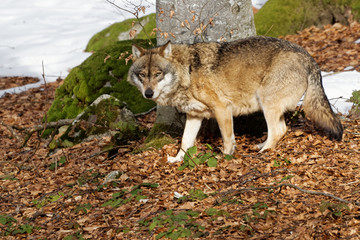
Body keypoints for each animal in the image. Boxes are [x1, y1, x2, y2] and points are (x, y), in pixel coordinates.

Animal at [127, 35, 344, 162]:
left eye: (157, 74)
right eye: (142, 75)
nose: (148, 93)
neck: (187, 72)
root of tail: (309, 56)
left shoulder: (222, 108)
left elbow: (227, 138)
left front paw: (226, 157)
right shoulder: (194, 116)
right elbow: (185, 142)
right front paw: (177, 159)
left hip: (266, 102)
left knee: (279, 130)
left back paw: (263, 152)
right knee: (281, 129)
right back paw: (261, 146)